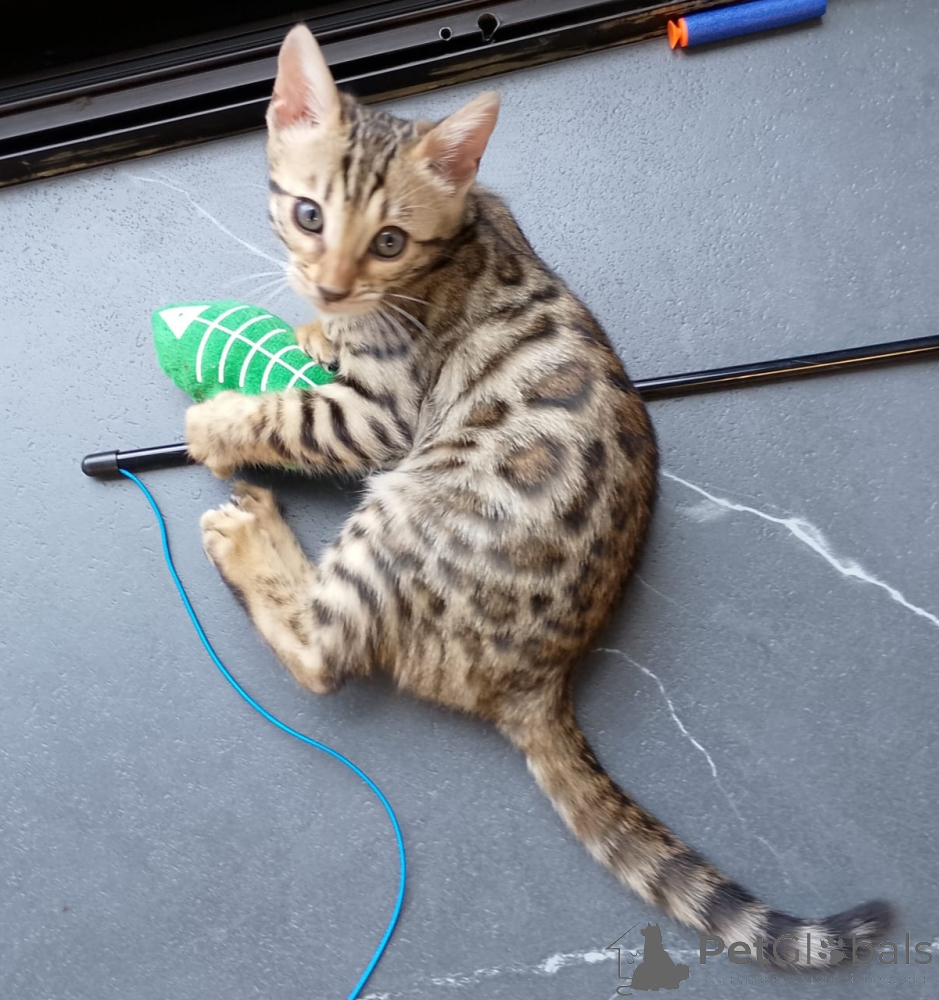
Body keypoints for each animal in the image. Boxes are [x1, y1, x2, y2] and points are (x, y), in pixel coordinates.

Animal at [185, 23, 891, 968]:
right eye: (309, 215)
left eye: (389, 241)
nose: (330, 285)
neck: (461, 232)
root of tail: (540, 679)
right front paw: (314, 328)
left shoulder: (379, 416)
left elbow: (292, 415)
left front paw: (216, 420)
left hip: (407, 501)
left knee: (322, 654)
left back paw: (249, 536)